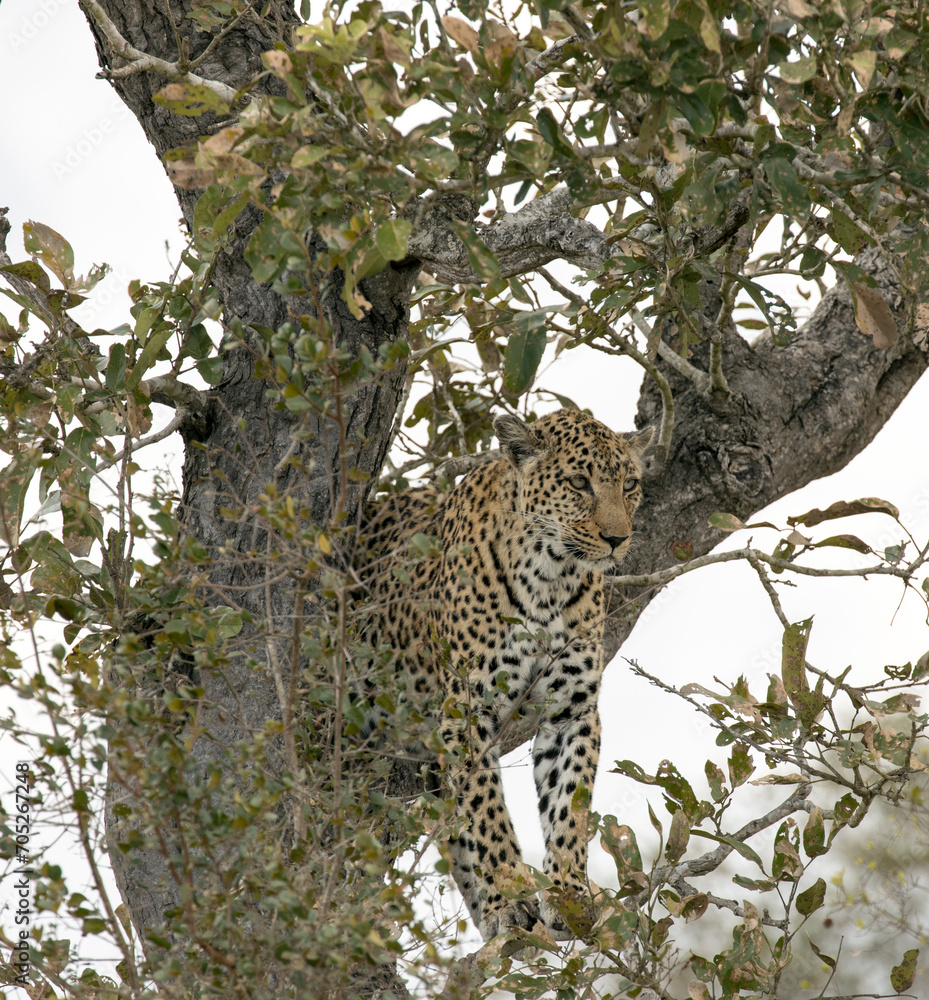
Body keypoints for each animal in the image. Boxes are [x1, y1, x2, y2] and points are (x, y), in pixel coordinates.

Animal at [360, 408, 653, 941]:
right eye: (579, 482)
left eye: (630, 485)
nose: (617, 539)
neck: (550, 578)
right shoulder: (468, 711)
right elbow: (486, 809)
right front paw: (512, 896)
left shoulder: (571, 710)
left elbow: (569, 804)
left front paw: (568, 893)